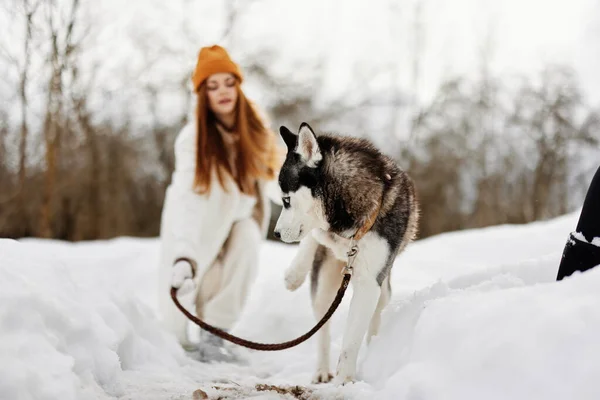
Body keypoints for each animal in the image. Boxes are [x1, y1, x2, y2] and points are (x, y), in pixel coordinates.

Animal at [274, 122, 420, 384]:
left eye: (287, 200)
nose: (276, 233)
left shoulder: (369, 283)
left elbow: (351, 341)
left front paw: (344, 381)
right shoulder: (324, 230)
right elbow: (312, 236)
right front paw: (294, 273)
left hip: (382, 289)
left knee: (377, 313)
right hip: (325, 286)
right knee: (322, 327)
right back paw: (321, 370)